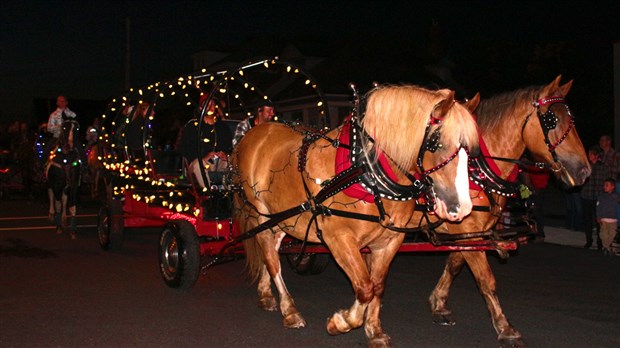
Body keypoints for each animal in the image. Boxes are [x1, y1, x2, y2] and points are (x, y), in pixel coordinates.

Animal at [232, 85, 480, 348]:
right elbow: (364, 287)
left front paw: (374, 330)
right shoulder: (338, 238)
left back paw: (266, 295)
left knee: (270, 250)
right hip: (260, 213)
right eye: (438, 145)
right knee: (271, 257)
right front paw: (340, 322)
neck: (365, 169)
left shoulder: (389, 240)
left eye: (471, 152)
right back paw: (290, 311)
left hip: (282, 218)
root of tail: (251, 136)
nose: (462, 208)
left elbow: (377, 286)